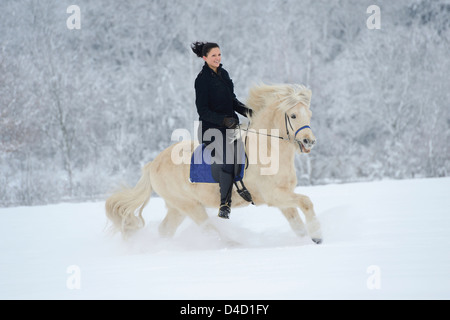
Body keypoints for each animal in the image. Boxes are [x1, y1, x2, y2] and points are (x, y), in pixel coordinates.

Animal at [105, 84, 324, 244]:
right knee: (209, 230)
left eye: (310, 114)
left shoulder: (283, 198)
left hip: (177, 208)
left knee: (165, 230)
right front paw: (318, 235)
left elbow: (297, 223)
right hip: (190, 206)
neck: (267, 150)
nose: (309, 141)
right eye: (293, 115)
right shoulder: (274, 196)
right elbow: (307, 202)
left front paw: (310, 239)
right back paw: (233, 245)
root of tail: (152, 164)